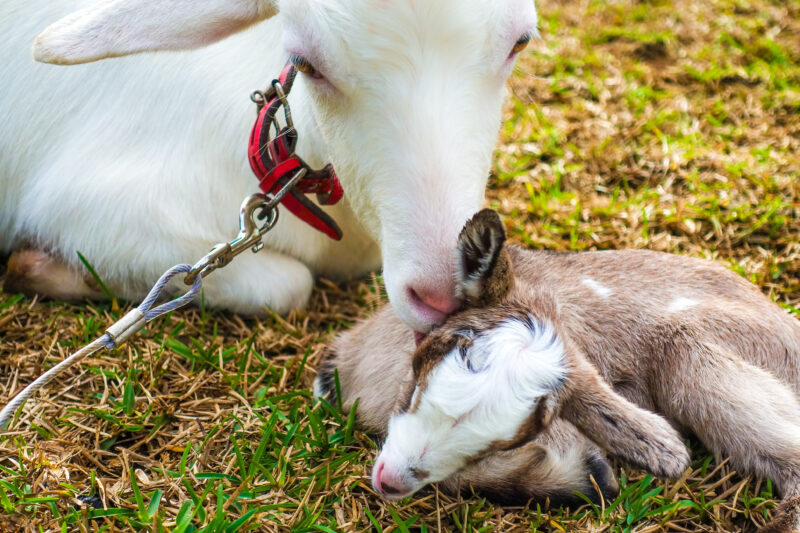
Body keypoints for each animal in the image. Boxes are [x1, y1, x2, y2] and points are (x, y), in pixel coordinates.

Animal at [1, 0, 536, 332]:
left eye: (521, 42)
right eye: (304, 61)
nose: (447, 294)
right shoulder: (93, 211)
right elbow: (287, 285)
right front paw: (42, 269)